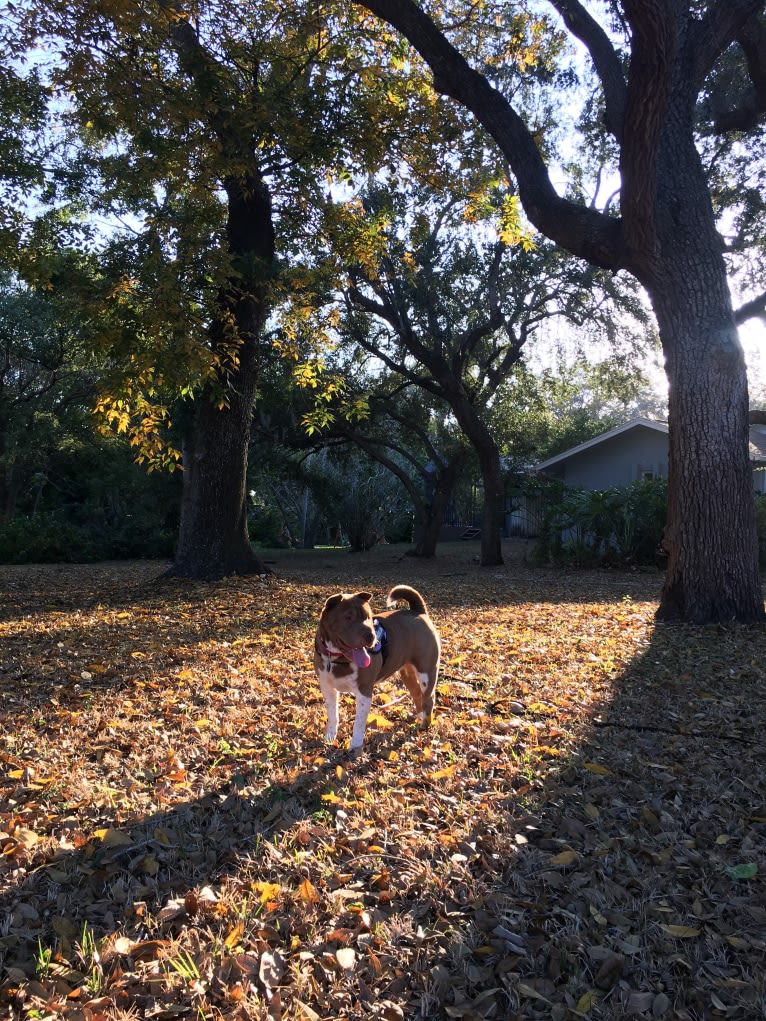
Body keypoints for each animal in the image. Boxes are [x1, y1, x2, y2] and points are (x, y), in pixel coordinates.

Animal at [314, 588, 441, 755]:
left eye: (368, 617)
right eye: (348, 617)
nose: (371, 636)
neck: (336, 658)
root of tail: (418, 611)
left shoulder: (364, 692)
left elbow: (358, 724)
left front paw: (356, 746)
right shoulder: (328, 688)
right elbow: (333, 714)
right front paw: (330, 737)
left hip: (426, 672)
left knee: (429, 698)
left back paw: (424, 726)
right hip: (407, 674)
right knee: (417, 694)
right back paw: (420, 717)